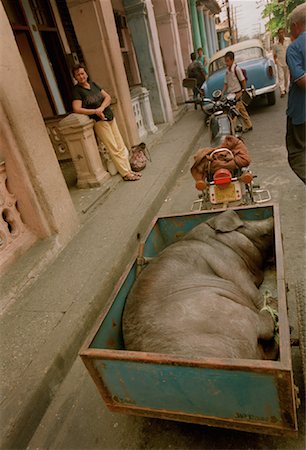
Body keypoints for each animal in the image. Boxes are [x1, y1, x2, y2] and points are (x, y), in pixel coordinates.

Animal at [79, 204, 302, 436]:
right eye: (248, 226)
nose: (272, 219)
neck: (215, 240)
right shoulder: (229, 267)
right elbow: (252, 291)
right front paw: (272, 302)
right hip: (229, 315)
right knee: (264, 326)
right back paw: (282, 323)